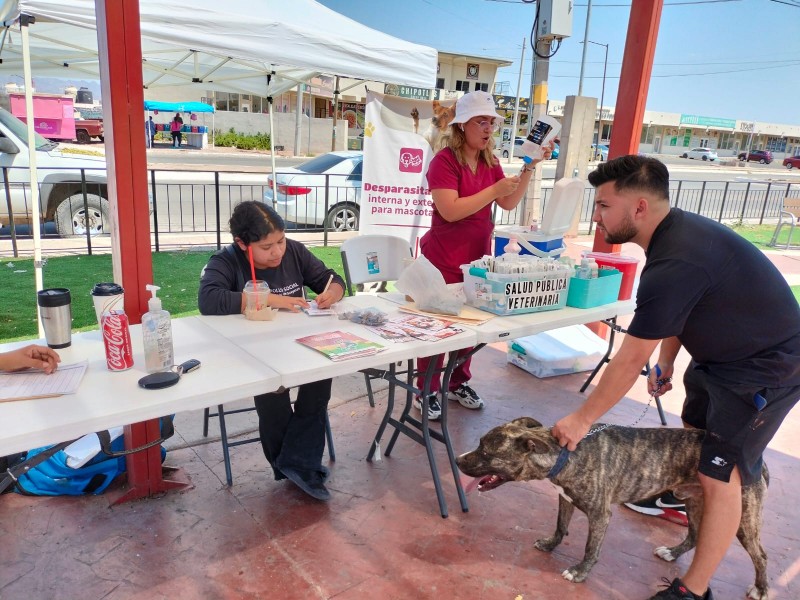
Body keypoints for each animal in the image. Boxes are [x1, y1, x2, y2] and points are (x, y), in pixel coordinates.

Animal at [456, 418, 768, 600]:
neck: (564, 453)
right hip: (693, 501)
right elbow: (560, 525)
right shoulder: (565, 499)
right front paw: (550, 544)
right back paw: (672, 552)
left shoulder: (600, 515)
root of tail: (757, 462)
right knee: (693, 535)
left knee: (760, 555)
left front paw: (580, 572)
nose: (457, 460)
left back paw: (761, 589)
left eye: (486, 452)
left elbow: (590, 548)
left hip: (741, 518)